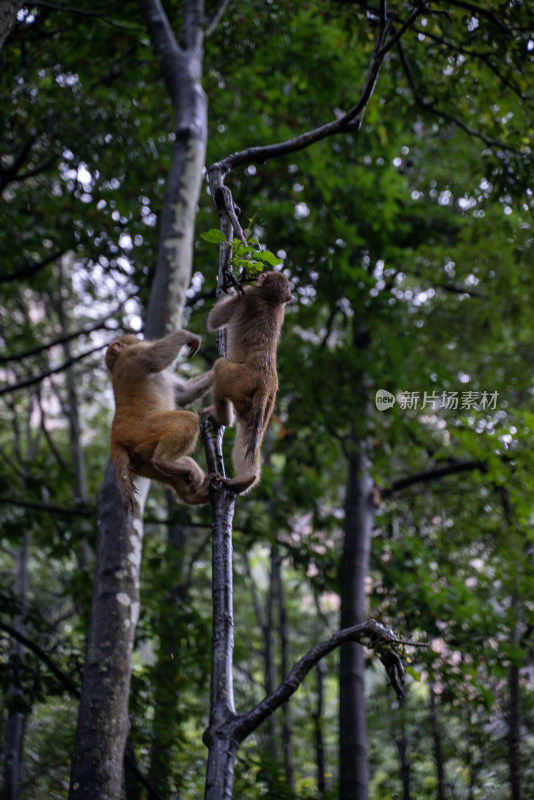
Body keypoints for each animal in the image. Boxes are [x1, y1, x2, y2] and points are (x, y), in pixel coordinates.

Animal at [105, 328, 217, 510]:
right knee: (187, 420)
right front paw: (187, 336)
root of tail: (115, 438)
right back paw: (163, 461)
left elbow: (185, 393)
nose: (140, 339)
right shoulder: (133, 353)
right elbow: (155, 356)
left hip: (140, 462)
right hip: (141, 432)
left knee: (160, 463)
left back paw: (193, 494)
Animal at [207, 270, 296, 494]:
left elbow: (214, 320)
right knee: (249, 432)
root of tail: (266, 382)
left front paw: (228, 285)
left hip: (239, 379)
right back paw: (245, 480)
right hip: (267, 401)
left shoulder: (247, 294)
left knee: (220, 367)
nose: (259, 276)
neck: (271, 299)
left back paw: (222, 418)